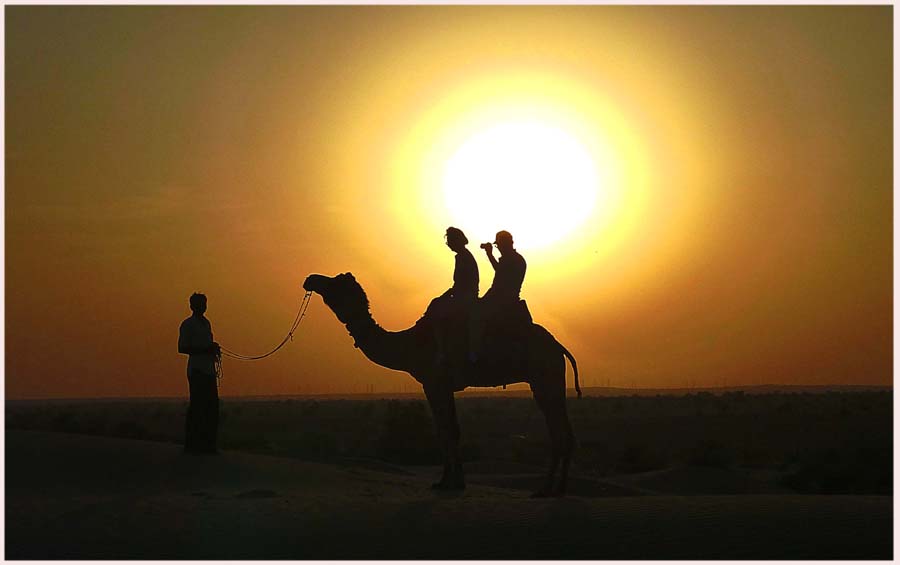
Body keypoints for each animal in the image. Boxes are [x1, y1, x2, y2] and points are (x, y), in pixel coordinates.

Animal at [304, 270, 584, 496]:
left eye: (335, 283)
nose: (311, 279)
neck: (409, 344)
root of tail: (558, 346)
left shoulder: (434, 382)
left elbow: (446, 430)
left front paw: (449, 482)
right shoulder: (441, 385)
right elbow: (450, 429)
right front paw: (451, 481)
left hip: (544, 376)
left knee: (557, 429)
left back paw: (547, 489)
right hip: (549, 379)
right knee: (564, 429)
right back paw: (558, 488)